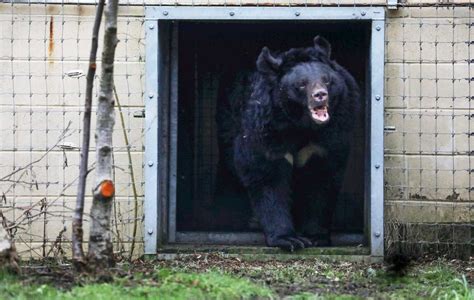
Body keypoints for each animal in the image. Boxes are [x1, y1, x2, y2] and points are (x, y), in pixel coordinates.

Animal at [218, 35, 360, 251]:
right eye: (301, 84)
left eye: (326, 80)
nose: (320, 95)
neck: (301, 125)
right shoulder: (266, 129)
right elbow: (267, 176)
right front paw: (288, 239)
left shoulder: (330, 135)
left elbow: (321, 179)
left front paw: (315, 236)